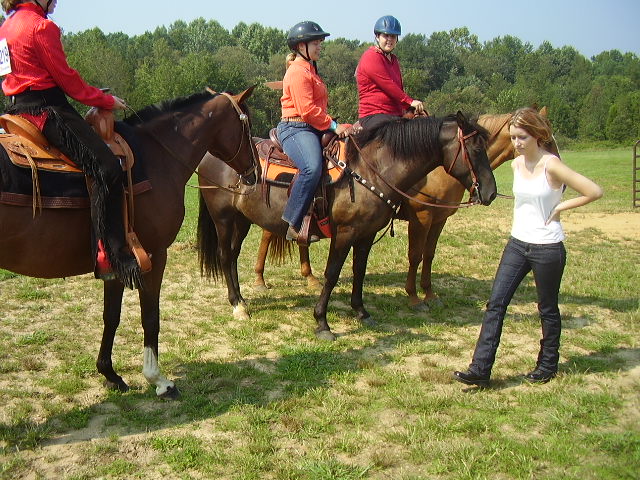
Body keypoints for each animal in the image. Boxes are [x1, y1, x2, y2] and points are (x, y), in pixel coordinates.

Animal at [0, 87, 256, 398]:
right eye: (247, 124)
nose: (254, 173)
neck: (158, 154)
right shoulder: (155, 255)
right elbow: (151, 316)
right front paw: (158, 380)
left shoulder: (115, 262)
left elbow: (111, 316)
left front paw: (110, 374)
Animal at [198, 111, 498, 340]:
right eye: (475, 149)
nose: (491, 193)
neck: (371, 171)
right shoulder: (345, 233)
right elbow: (332, 274)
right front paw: (322, 322)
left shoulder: (366, 234)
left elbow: (359, 271)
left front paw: (361, 312)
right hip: (223, 218)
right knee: (225, 256)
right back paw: (238, 306)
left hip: (242, 220)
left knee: (233, 256)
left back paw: (241, 300)